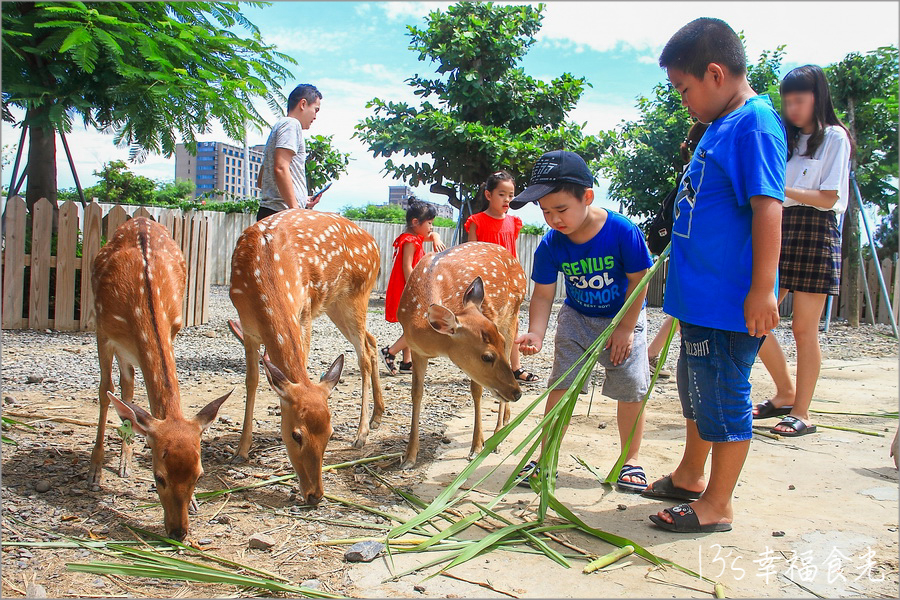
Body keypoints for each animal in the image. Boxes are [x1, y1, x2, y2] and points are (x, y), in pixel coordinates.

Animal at [89, 218, 230, 540]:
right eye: (158, 477)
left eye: (199, 475)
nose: (179, 532)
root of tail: (139, 219)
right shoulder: (102, 330)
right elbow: (105, 390)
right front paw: (94, 471)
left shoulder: (174, 328)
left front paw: (195, 503)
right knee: (118, 389)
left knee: (129, 386)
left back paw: (125, 461)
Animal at [229, 211, 384, 506]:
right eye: (295, 434)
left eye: (330, 433)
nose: (315, 495)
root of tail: (376, 245)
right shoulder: (247, 327)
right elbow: (252, 381)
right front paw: (241, 449)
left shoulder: (305, 310)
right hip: (336, 304)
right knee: (372, 343)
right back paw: (377, 416)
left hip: (357, 296)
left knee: (363, 355)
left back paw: (361, 434)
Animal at [396, 241, 528, 466]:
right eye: (487, 356)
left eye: (498, 345)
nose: (517, 393)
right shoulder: (416, 350)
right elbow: (416, 393)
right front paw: (409, 456)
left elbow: (476, 391)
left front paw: (476, 446)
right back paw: (506, 418)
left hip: (511, 315)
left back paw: (497, 435)